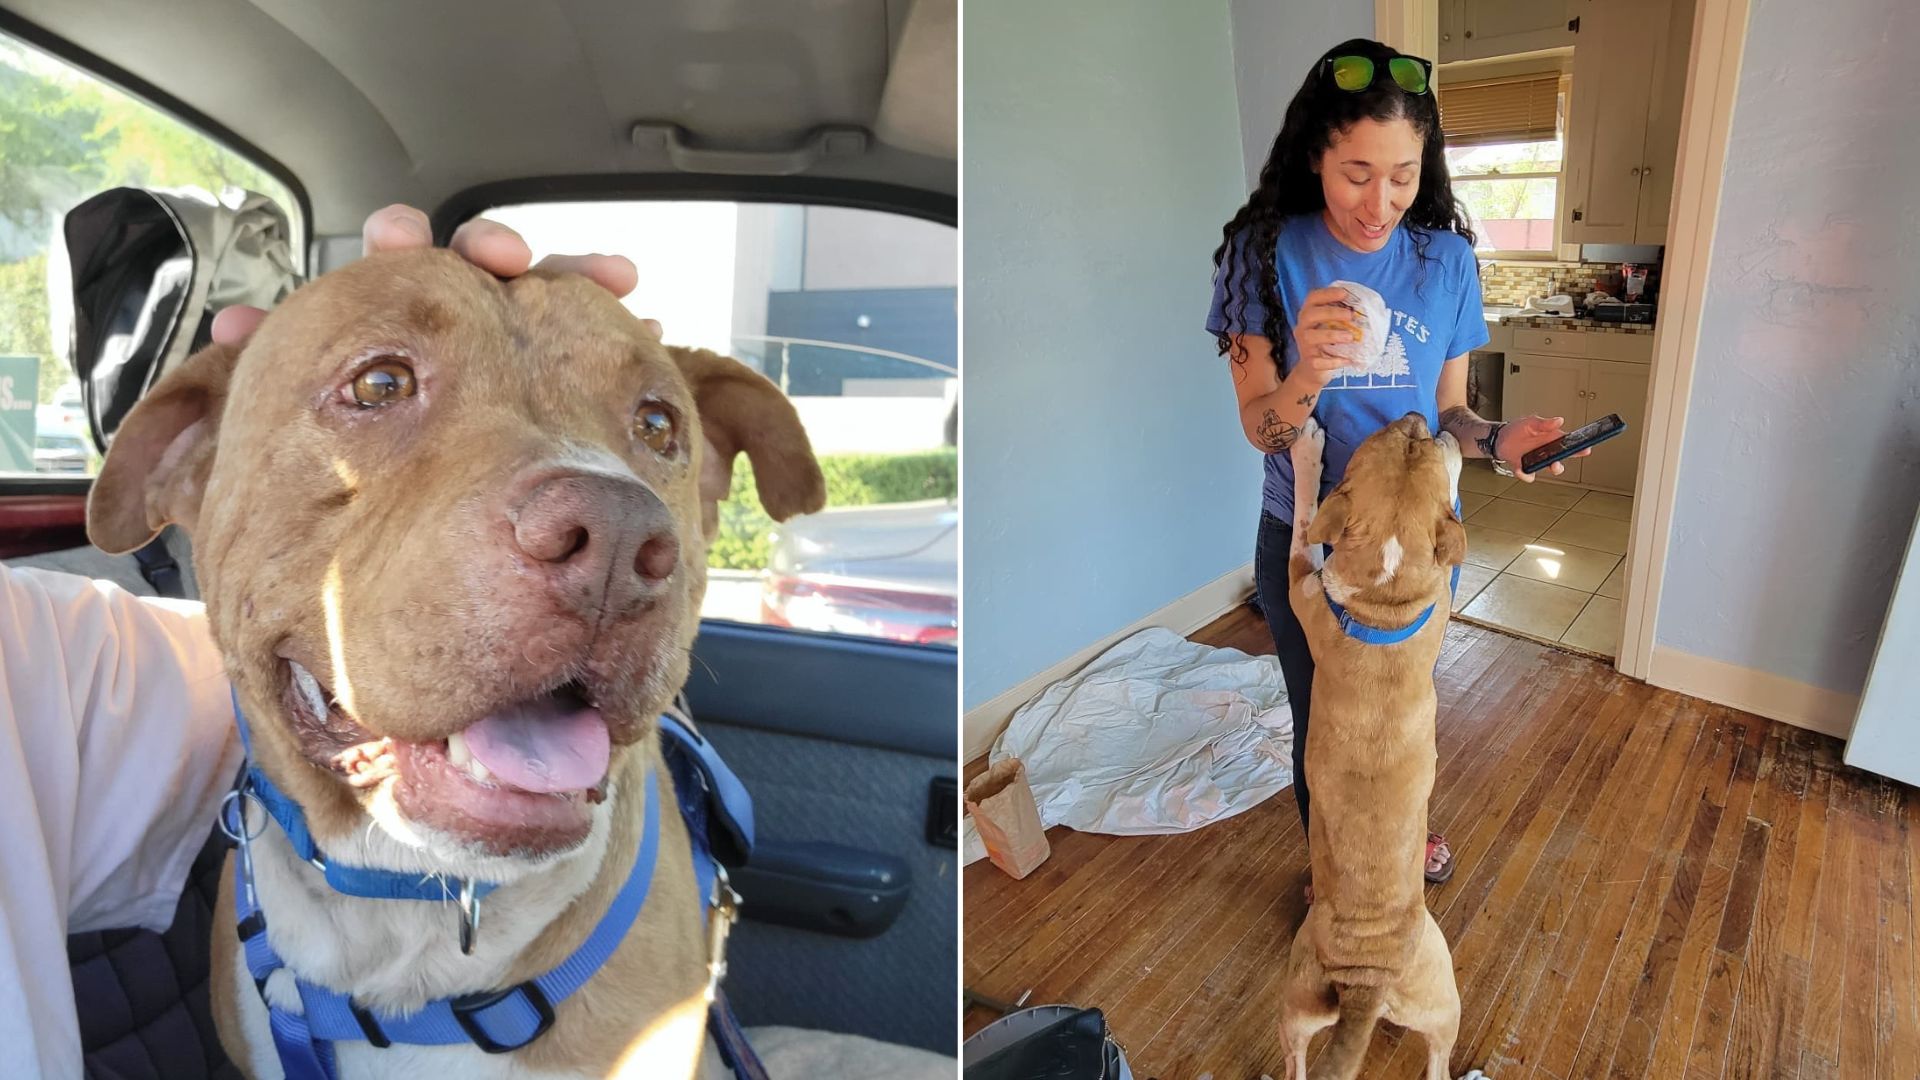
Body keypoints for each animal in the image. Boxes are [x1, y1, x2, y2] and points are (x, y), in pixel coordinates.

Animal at [1274, 411, 1466, 1076]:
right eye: (1410, 443)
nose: (1421, 420)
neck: (1384, 603)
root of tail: (1366, 979)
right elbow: (1308, 522)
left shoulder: (1305, 578)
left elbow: (1307, 523)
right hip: (1405, 998)